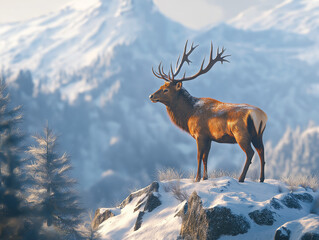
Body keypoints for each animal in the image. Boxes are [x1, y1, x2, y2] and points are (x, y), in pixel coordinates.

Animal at [149, 40, 268, 182]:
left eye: (166, 89)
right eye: (161, 85)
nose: (151, 96)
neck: (189, 115)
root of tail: (262, 116)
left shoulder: (199, 134)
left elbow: (199, 156)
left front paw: (197, 178)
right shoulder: (209, 137)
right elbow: (206, 157)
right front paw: (205, 177)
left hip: (241, 133)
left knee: (250, 153)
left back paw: (241, 178)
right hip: (258, 134)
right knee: (262, 151)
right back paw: (261, 179)